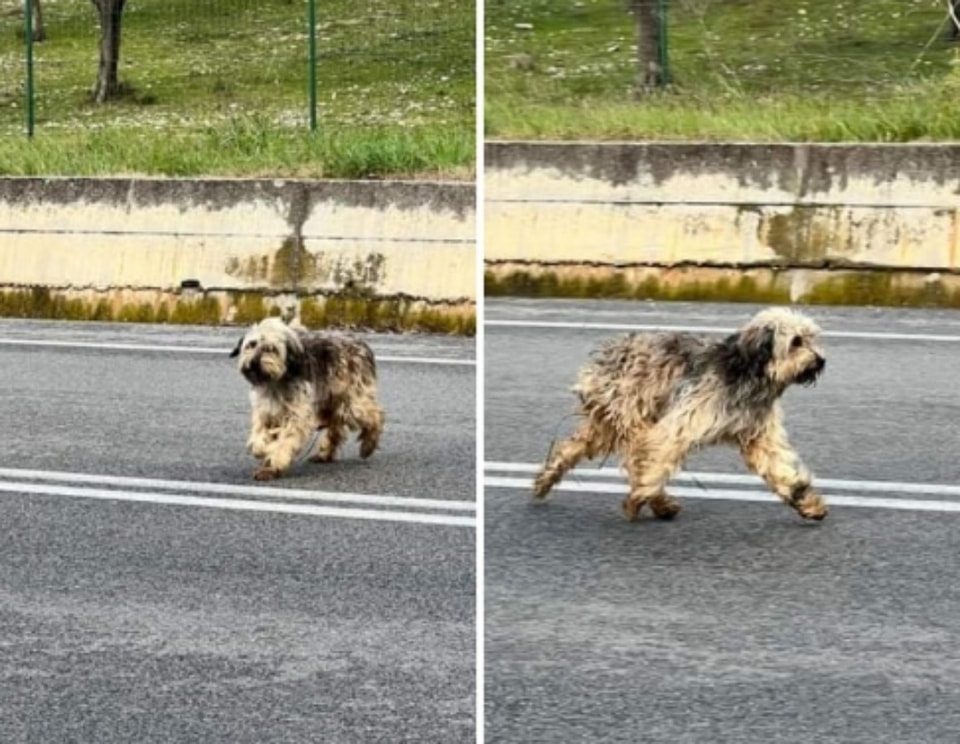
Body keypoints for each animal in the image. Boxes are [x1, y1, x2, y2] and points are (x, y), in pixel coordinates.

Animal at [230, 317, 385, 481]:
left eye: (271, 349)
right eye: (252, 344)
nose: (253, 363)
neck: (278, 379)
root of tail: (361, 342)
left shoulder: (297, 416)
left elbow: (284, 442)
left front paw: (274, 464)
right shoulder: (266, 411)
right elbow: (259, 436)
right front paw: (261, 451)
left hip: (352, 402)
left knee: (376, 415)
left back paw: (368, 445)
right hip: (330, 401)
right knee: (336, 427)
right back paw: (325, 454)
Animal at [532, 307, 828, 522]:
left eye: (812, 337)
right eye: (796, 342)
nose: (821, 360)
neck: (747, 374)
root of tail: (605, 356)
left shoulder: (758, 435)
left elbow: (779, 468)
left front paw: (804, 500)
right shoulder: (679, 424)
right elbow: (656, 462)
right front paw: (637, 499)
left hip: (608, 423)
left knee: (571, 448)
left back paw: (546, 480)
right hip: (631, 416)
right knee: (636, 461)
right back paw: (657, 502)